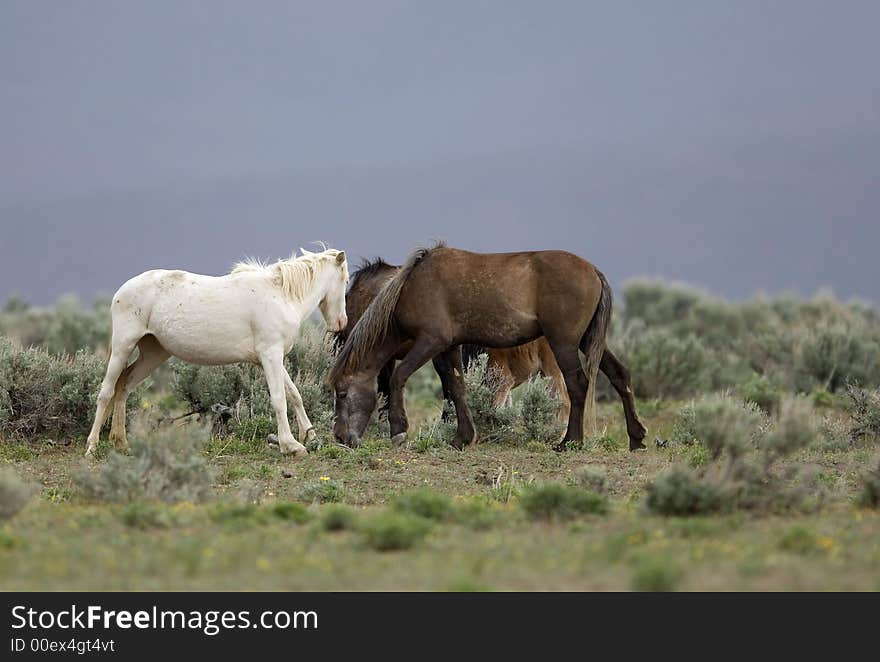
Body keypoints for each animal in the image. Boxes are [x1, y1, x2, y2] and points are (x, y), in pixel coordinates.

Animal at [84, 246, 348, 460]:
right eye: (345, 281)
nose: (341, 323)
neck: (281, 295)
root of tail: (121, 291)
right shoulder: (271, 355)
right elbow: (279, 399)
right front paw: (290, 445)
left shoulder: (272, 358)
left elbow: (294, 395)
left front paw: (310, 437)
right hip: (123, 346)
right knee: (106, 393)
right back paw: (92, 447)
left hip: (153, 353)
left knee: (124, 385)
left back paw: (122, 443)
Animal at [330, 246, 648, 454]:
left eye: (342, 393)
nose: (341, 438)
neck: (410, 286)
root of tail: (593, 270)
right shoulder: (449, 348)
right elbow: (457, 388)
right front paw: (462, 438)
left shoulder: (430, 341)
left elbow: (399, 379)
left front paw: (398, 430)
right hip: (587, 340)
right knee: (620, 375)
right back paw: (636, 438)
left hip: (564, 343)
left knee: (577, 384)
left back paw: (570, 442)